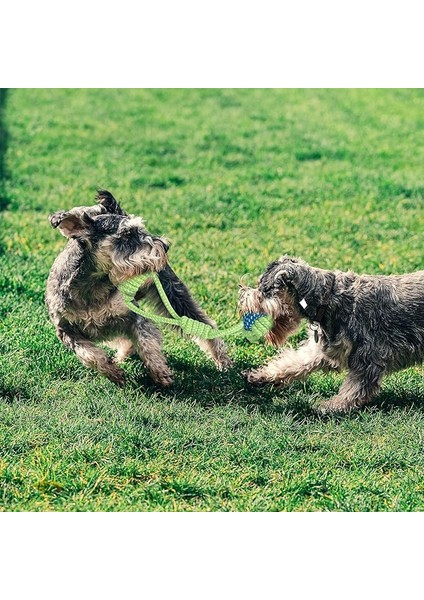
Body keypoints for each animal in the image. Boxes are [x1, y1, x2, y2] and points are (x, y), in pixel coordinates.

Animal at [45, 193, 232, 390]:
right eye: (127, 233)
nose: (165, 246)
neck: (91, 286)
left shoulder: (134, 316)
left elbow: (146, 342)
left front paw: (160, 372)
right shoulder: (66, 330)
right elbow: (90, 355)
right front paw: (114, 373)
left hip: (175, 298)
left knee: (205, 325)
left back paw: (223, 361)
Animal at [237, 253, 424, 412]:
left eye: (264, 290)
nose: (242, 296)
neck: (329, 298)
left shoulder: (368, 357)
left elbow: (355, 389)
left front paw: (332, 406)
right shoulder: (322, 349)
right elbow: (293, 363)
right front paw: (260, 376)